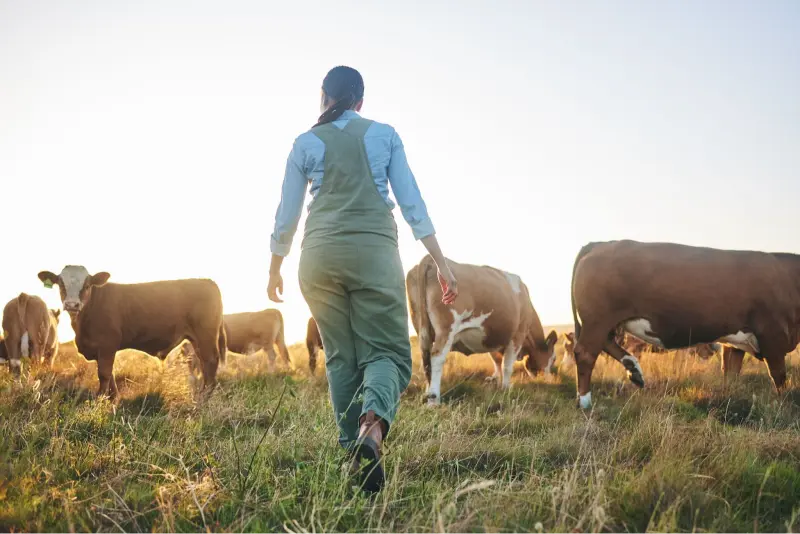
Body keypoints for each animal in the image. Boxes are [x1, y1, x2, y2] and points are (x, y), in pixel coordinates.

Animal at [38, 266, 227, 400]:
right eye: (61, 283)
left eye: (87, 285)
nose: (72, 304)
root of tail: (208, 281)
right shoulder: (101, 349)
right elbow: (110, 374)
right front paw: (112, 397)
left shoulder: (107, 344)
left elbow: (104, 373)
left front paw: (100, 399)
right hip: (197, 339)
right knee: (204, 363)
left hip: (206, 335)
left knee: (210, 362)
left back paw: (205, 397)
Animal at [406, 255, 556, 406]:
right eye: (554, 358)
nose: (550, 378)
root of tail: (430, 260)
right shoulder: (518, 334)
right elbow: (507, 366)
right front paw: (506, 388)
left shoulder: (492, 339)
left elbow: (497, 361)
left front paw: (497, 382)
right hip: (446, 329)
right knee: (437, 357)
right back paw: (434, 400)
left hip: (422, 329)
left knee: (426, 361)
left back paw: (428, 393)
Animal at [568, 241, 800, 412]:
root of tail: (601, 243)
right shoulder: (773, 335)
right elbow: (779, 377)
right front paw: (785, 406)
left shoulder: (735, 343)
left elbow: (731, 375)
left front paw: (730, 399)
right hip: (598, 320)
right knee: (586, 353)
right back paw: (585, 402)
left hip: (607, 323)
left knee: (606, 344)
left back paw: (634, 371)